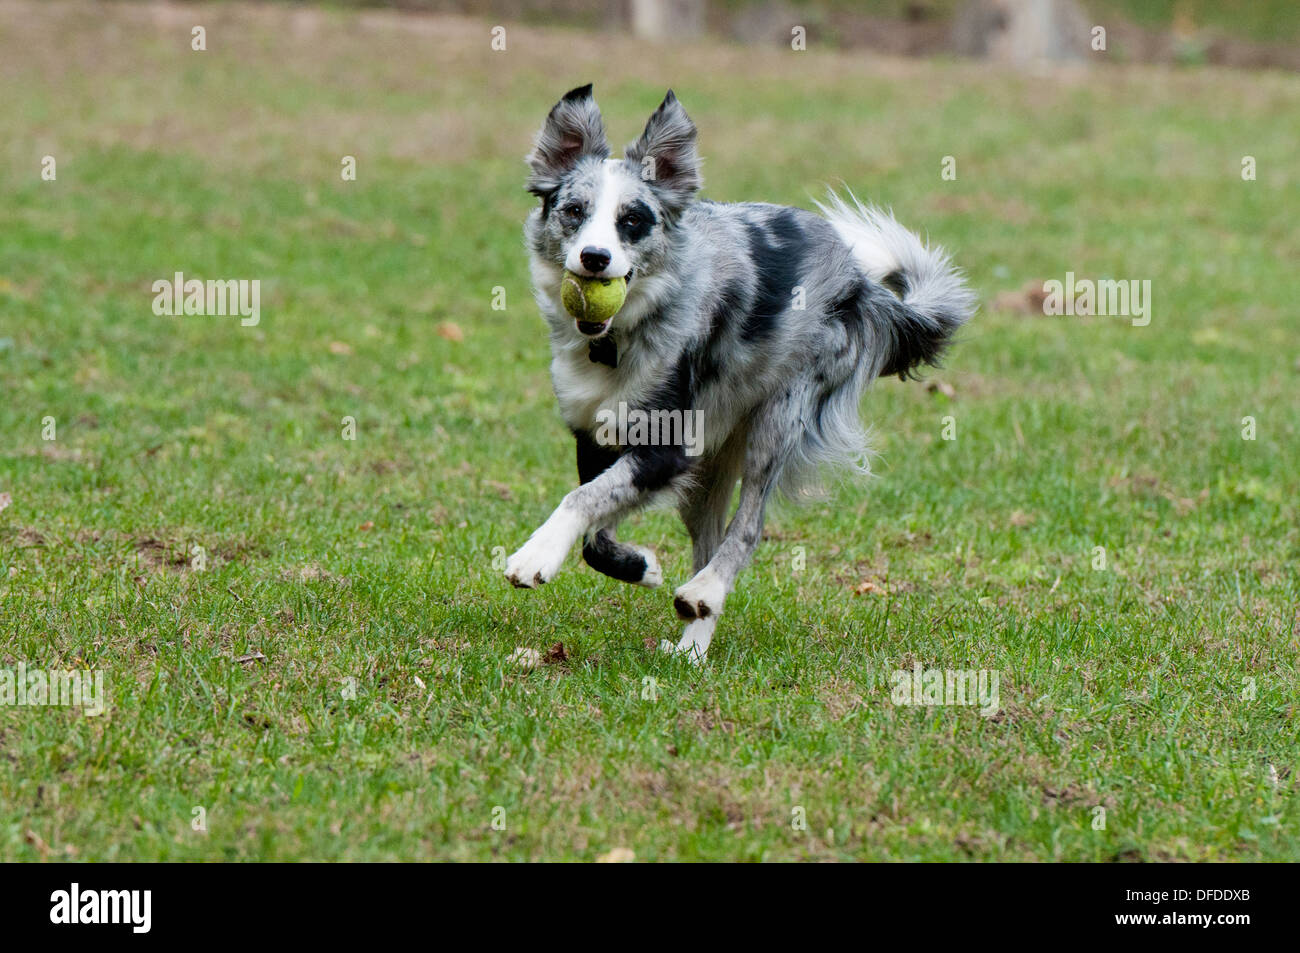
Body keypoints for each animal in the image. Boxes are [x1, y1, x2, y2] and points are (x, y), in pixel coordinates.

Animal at [501, 85, 972, 657]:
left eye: (632, 221)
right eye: (574, 211)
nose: (595, 258)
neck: (619, 337)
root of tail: (859, 281)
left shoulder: (666, 448)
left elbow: (581, 499)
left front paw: (536, 555)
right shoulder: (594, 435)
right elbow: (595, 527)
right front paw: (640, 567)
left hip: (777, 420)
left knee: (747, 529)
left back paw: (704, 592)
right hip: (710, 462)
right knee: (710, 540)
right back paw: (692, 646)